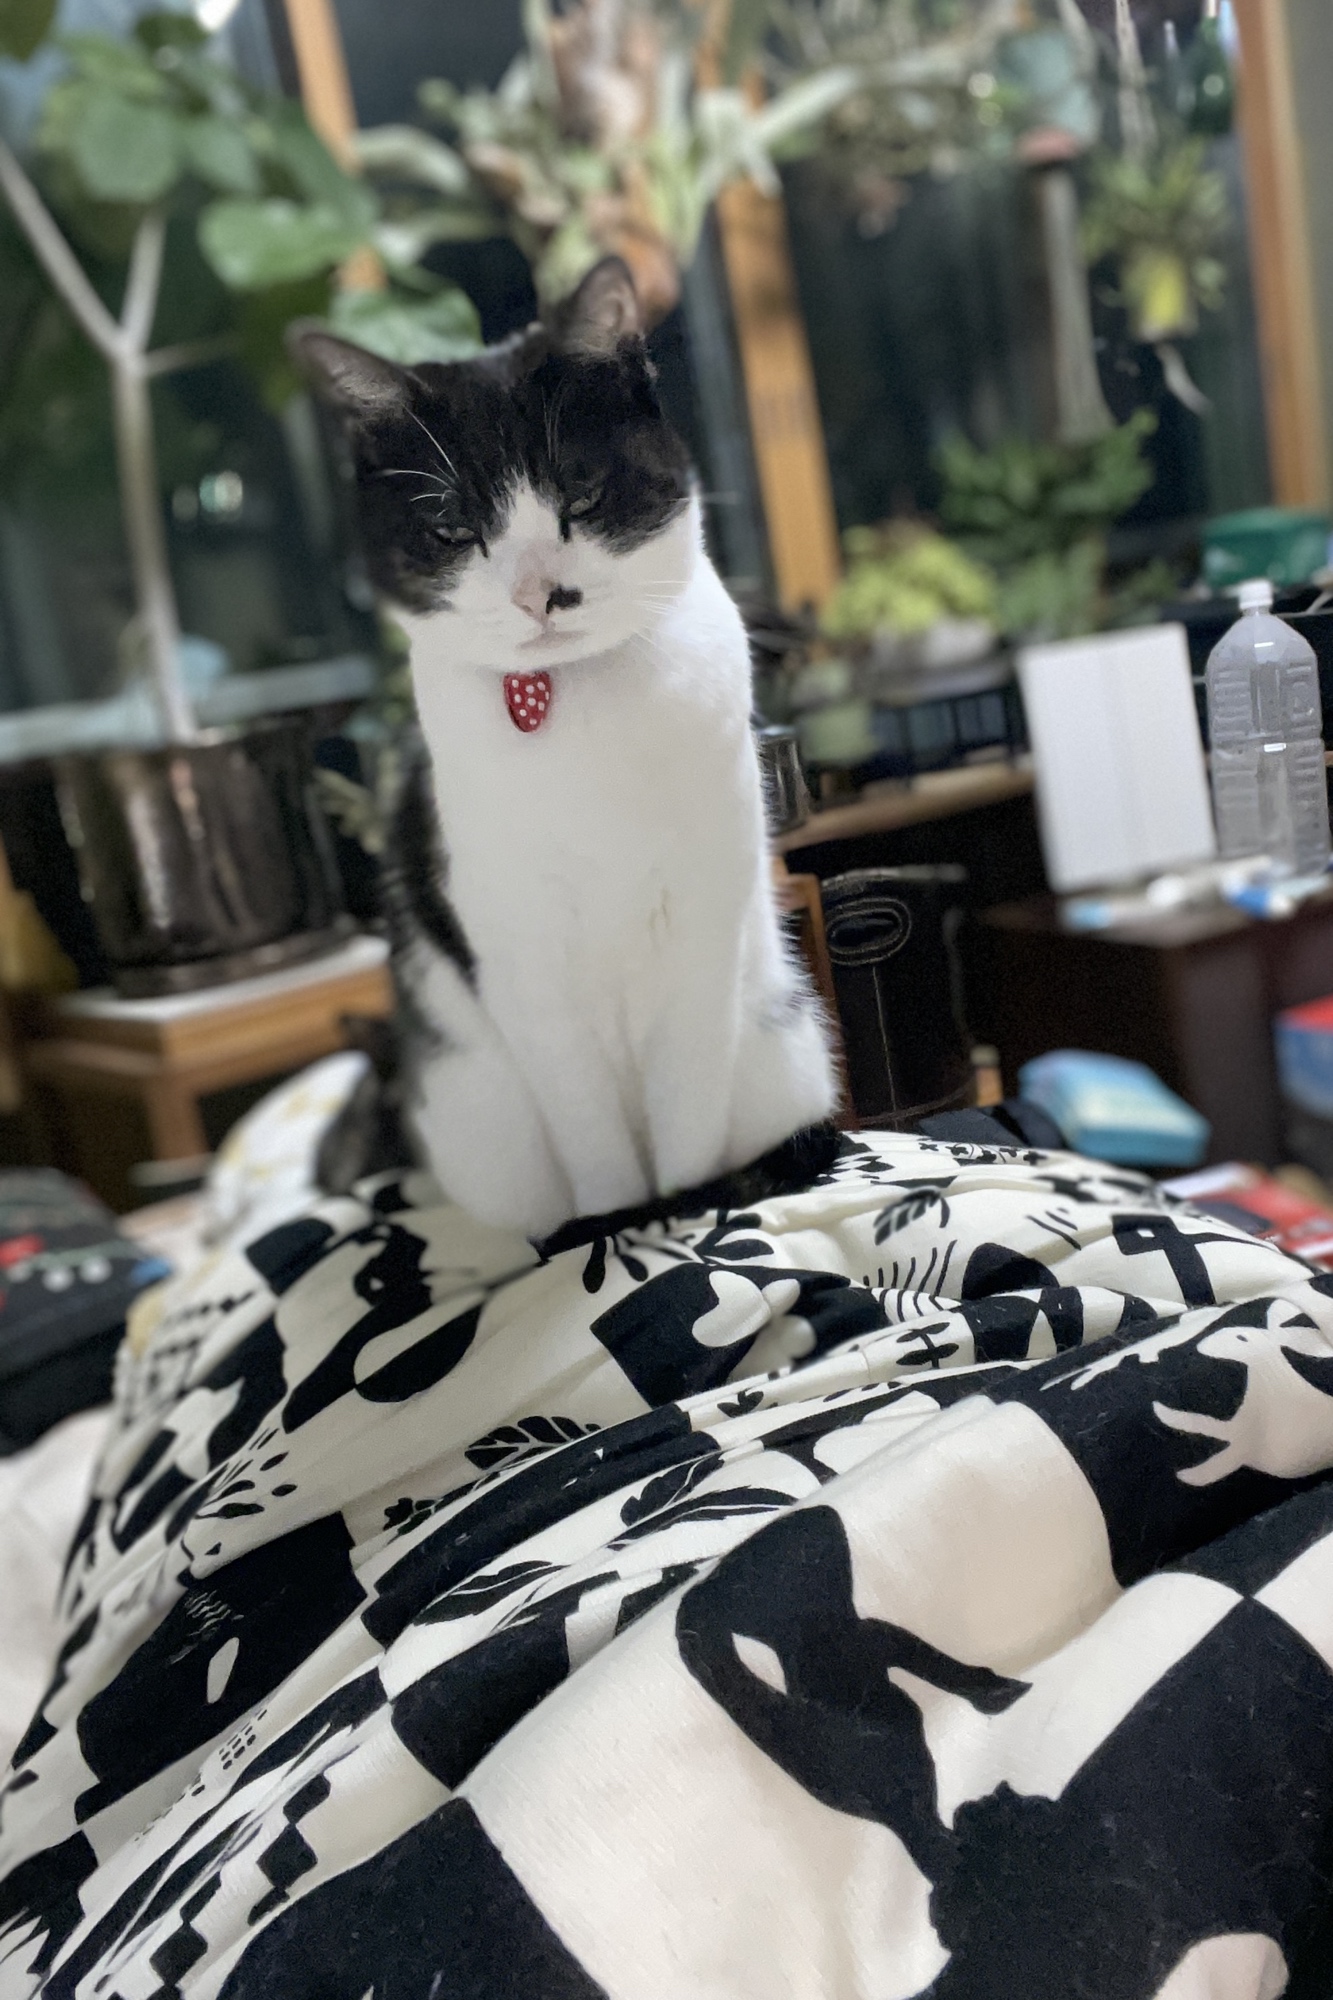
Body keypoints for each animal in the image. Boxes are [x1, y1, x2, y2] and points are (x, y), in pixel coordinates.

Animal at [296, 258, 837, 1241]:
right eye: (452, 530)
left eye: (580, 496)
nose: (539, 594)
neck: (573, 705)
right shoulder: (519, 959)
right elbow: (590, 1132)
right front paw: (617, 1221)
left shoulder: (700, 928)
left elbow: (686, 1108)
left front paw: (686, 1211)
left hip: (783, 1039)